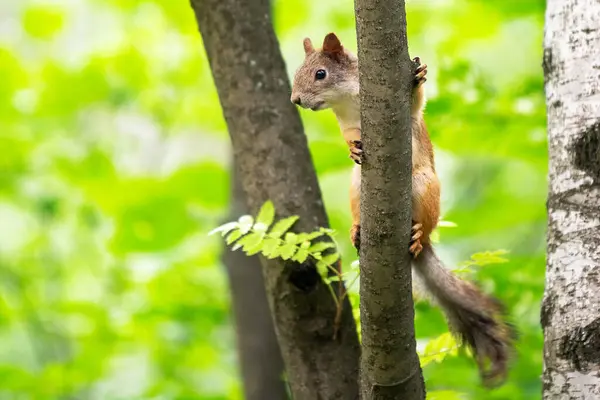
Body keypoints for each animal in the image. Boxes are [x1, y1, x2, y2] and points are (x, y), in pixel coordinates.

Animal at [290, 32, 516, 388]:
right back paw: (357, 228)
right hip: (356, 186)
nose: (296, 99)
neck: (349, 98)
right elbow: (349, 136)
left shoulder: (407, 113)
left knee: (425, 227)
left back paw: (419, 236)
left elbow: (415, 104)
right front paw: (352, 149)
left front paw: (419, 76)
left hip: (424, 187)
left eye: (320, 74)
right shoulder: (347, 123)